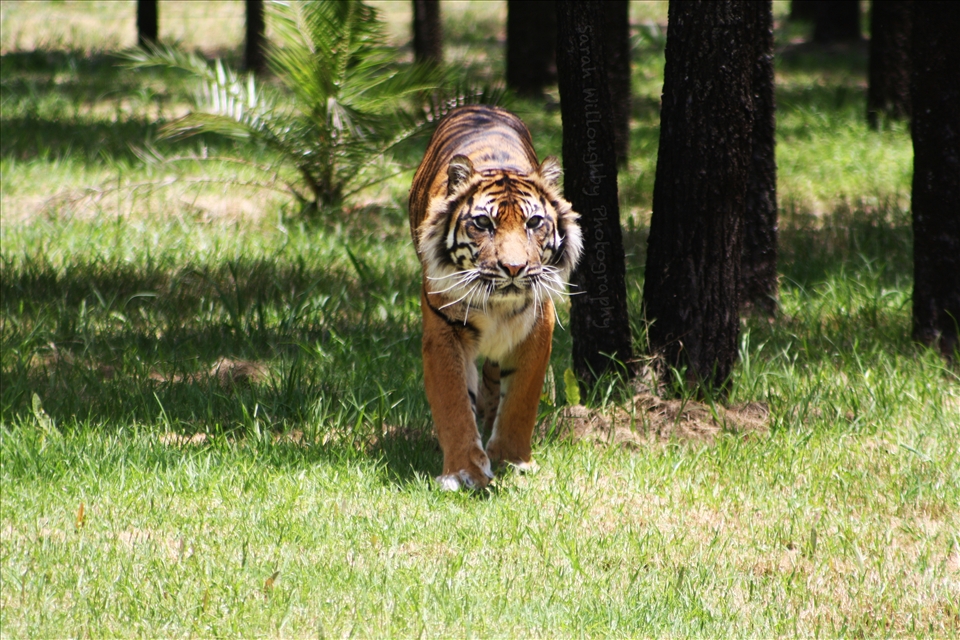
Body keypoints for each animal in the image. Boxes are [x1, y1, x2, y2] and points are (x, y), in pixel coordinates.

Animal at [408, 105, 583, 490]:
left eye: (534, 223)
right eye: (483, 224)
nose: (514, 268)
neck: (498, 306)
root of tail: (481, 106)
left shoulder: (538, 327)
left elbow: (520, 402)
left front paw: (513, 461)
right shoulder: (443, 330)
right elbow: (454, 403)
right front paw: (463, 472)